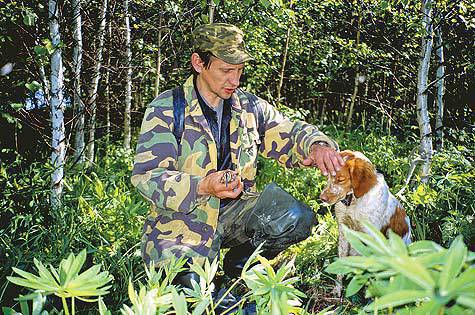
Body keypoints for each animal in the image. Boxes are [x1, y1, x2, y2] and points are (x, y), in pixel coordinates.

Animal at [320, 152, 412, 298]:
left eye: (341, 179)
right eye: (328, 177)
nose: (322, 198)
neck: (354, 201)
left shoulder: (370, 235)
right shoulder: (343, 231)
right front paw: (338, 289)